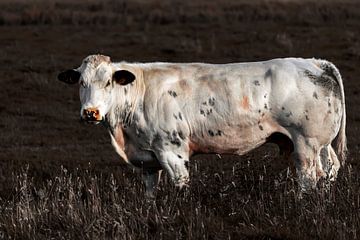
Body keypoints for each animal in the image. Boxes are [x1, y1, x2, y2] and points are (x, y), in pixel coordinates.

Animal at [57, 54, 346, 197]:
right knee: (329, 170)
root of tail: (314, 63)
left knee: (309, 178)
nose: (90, 112)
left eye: (108, 82)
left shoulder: (172, 151)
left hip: (306, 143)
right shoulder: (147, 159)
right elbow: (150, 193)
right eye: (81, 82)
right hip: (321, 144)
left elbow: (181, 186)